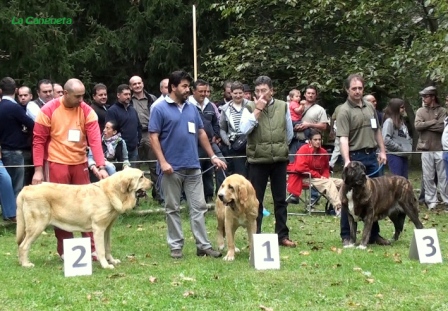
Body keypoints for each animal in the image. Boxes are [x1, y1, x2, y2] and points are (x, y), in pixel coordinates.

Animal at [16, 169, 151, 270]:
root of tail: (26, 188)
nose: (152, 183)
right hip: (37, 226)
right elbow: (101, 249)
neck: (112, 193)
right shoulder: (98, 228)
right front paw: (106, 265)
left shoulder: (107, 229)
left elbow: (107, 247)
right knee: (23, 246)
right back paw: (26, 264)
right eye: (141, 177)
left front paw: (112, 261)